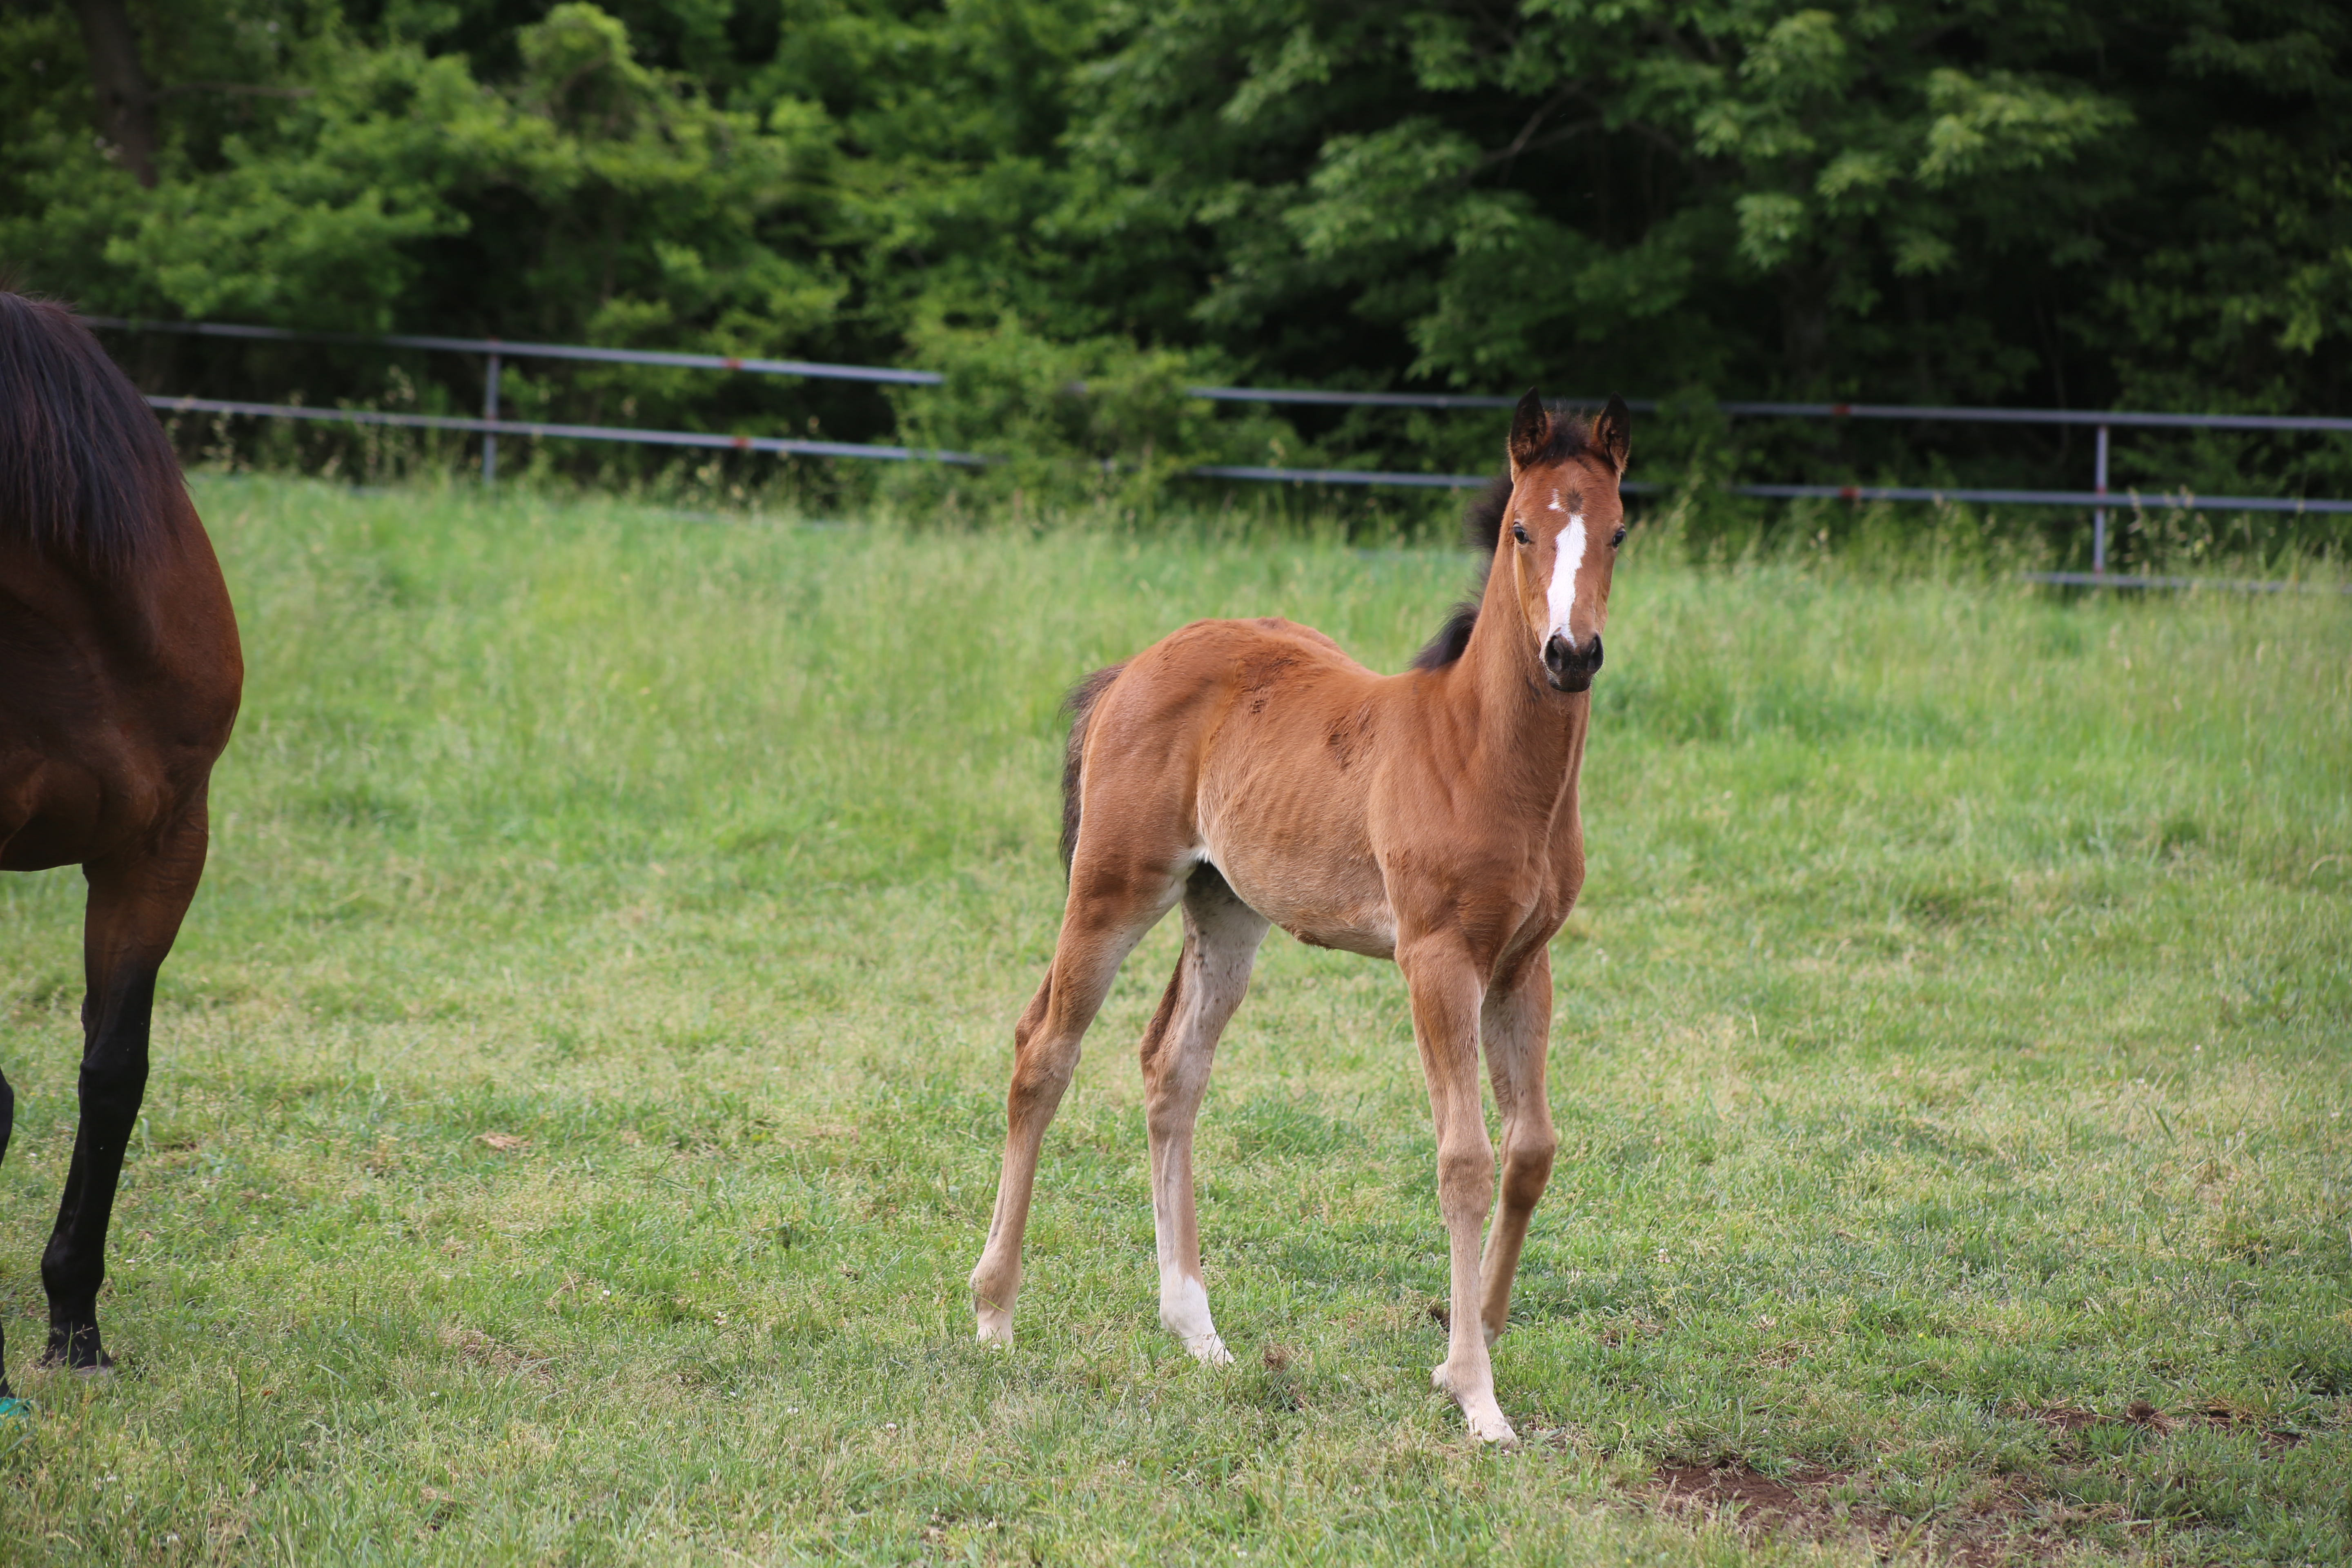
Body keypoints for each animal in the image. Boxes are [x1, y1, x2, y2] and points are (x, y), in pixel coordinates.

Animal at [964, 390, 1627, 1448]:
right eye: (1523, 529)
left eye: (1617, 530)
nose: (1570, 655)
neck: (1478, 755)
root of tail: (1132, 667)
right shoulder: (1438, 959)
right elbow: (1465, 1158)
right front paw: (1476, 1395)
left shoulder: (1524, 963)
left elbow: (1531, 1150)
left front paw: (1471, 1339)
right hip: (1113, 885)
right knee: (1044, 1050)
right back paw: (994, 1312)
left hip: (1226, 907)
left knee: (1171, 1068)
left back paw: (1197, 1329)